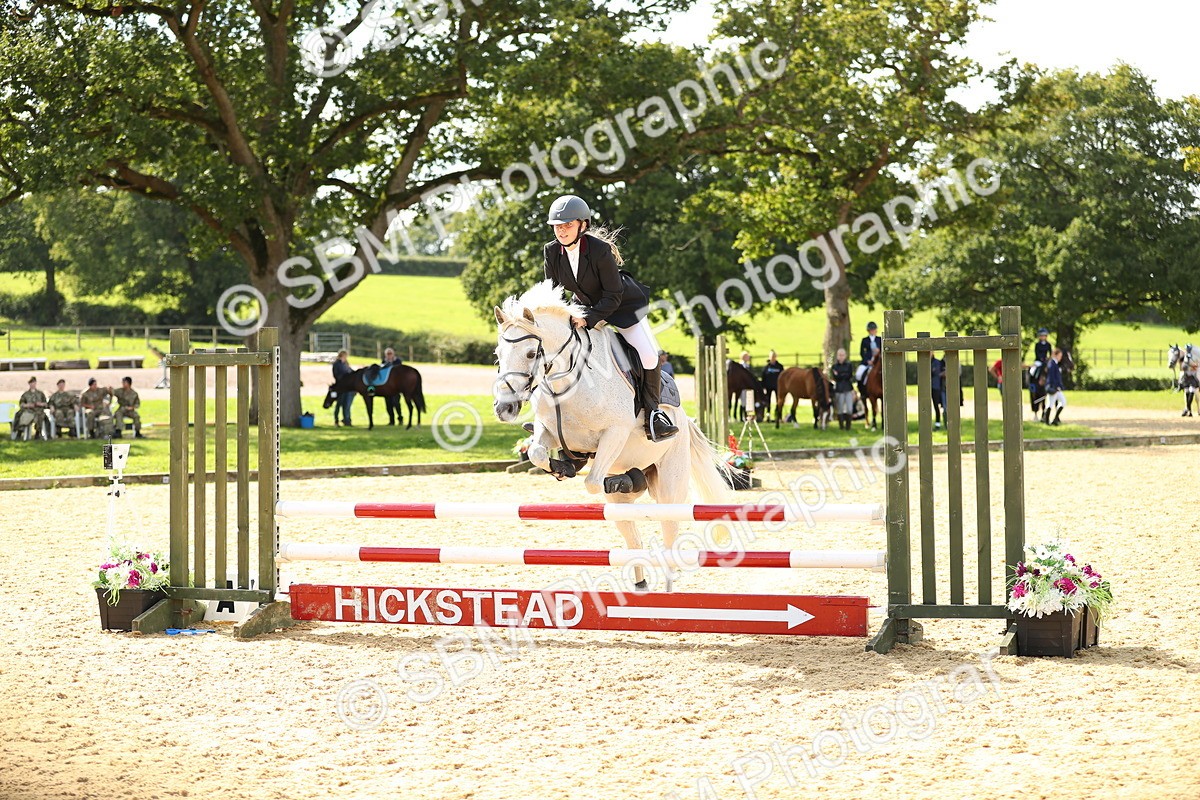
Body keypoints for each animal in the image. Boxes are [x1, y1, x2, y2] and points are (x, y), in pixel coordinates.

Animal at [492, 281, 731, 589]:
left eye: (531, 354)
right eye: (498, 355)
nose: (504, 408)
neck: (568, 383)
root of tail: (685, 421)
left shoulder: (615, 433)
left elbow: (592, 482)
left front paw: (573, 469)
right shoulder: (549, 431)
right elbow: (536, 453)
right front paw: (562, 466)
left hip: (670, 482)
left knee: (669, 537)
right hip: (623, 499)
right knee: (632, 535)